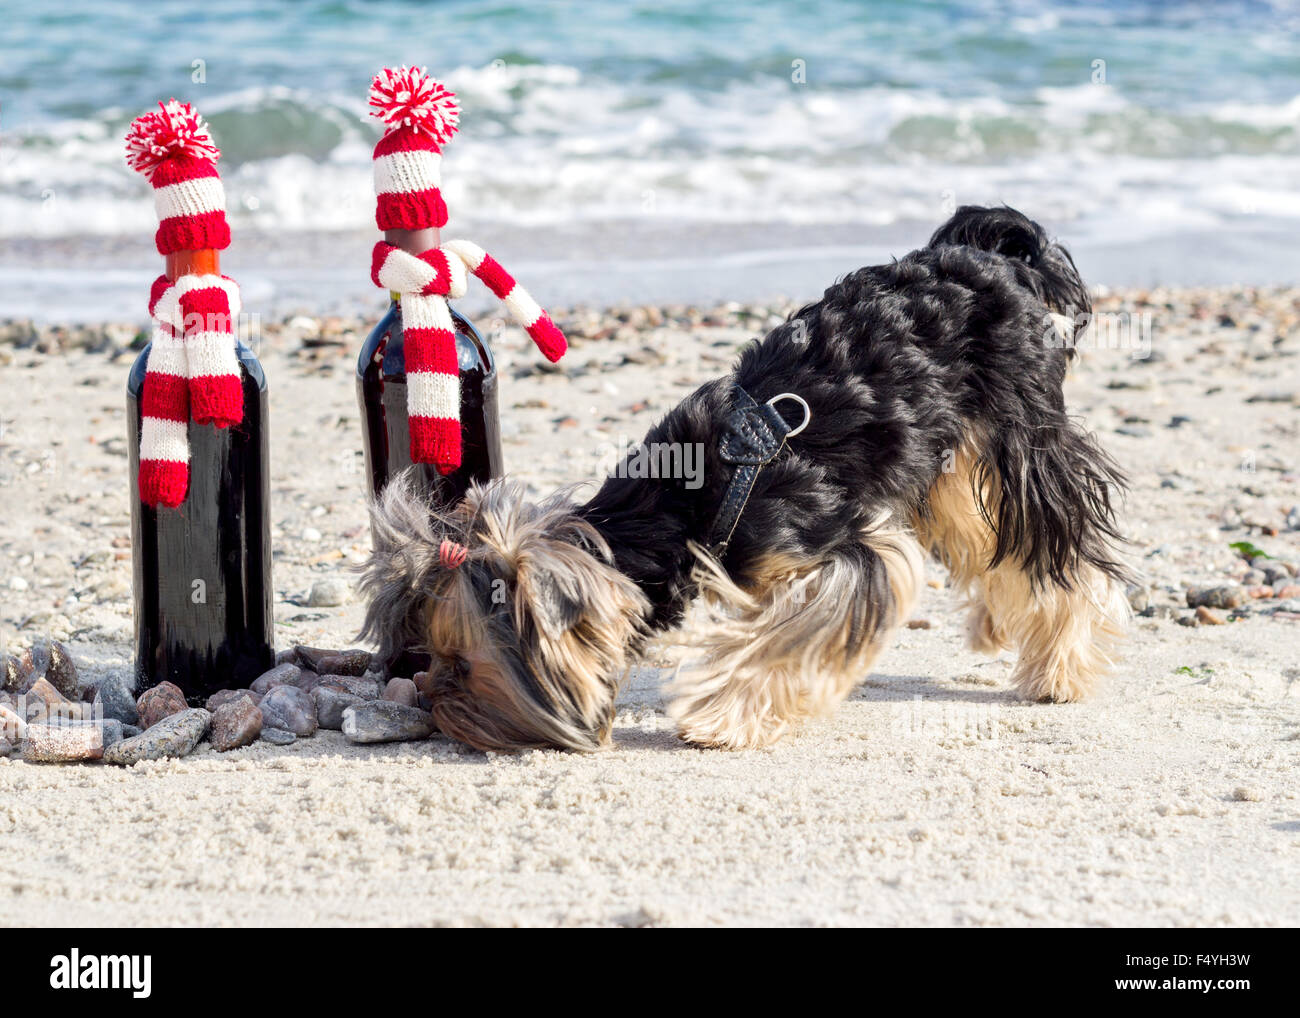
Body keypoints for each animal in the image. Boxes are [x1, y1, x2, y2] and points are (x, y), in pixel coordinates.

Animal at [361, 205, 1133, 748]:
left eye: (463, 660)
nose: (430, 695)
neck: (677, 507)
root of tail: (998, 256)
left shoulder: (846, 550)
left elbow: (790, 638)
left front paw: (719, 717)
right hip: (937, 450)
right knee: (986, 534)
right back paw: (1003, 622)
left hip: (1016, 432)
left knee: (1058, 548)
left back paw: (1059, 668)